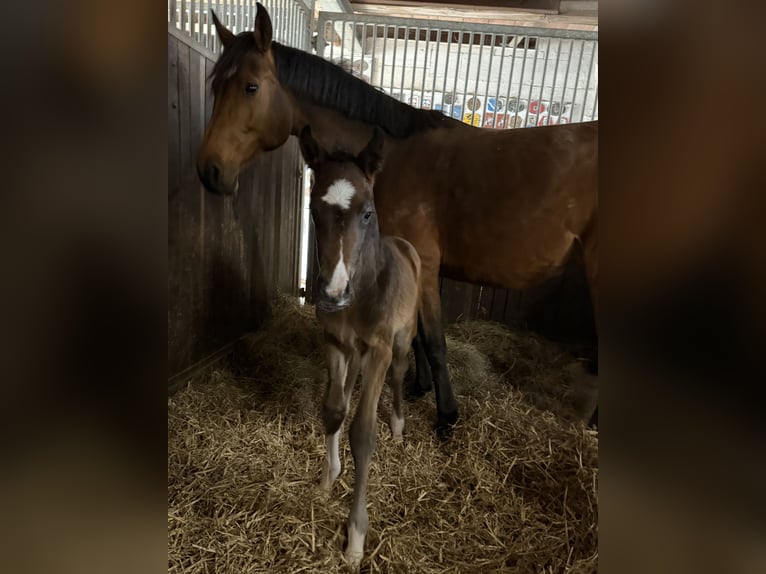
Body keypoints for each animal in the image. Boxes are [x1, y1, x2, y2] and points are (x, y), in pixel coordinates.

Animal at [196, 4, 599, 434]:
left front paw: (446, 415)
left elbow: (435, 341)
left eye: (250, 87)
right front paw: (419, 386)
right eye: (215, 86)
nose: (209, 170)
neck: (392, 157)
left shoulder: (425, 263)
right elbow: (416, 335)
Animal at [299, 125, 420, 569]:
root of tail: (406, 245)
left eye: (367, 212)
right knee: (349, 389)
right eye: (313, 209)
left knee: (400, 374)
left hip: (401, 341)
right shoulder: (335, 342)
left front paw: (355, 538)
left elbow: (364, 433)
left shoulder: (379, 349)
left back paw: (399, 428)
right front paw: (325, 481)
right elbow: (334, 411)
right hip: (353, 353)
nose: (333, 293)